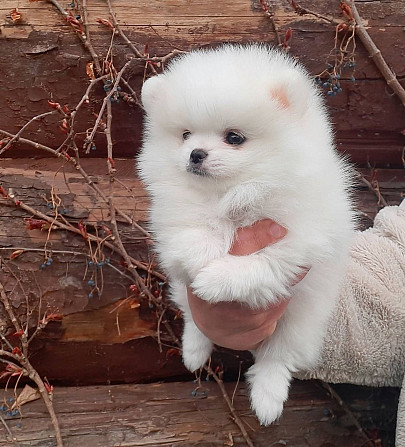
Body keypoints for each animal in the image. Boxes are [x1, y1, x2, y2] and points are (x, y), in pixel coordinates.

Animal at [138, 44, 354, 428]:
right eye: (185, 135)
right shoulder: (172, 219)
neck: (236, 192)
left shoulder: (299, 242)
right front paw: (204, 254)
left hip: (301, 323)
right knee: (194, 320)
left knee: (276, 358)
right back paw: (194, 351)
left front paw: (216, 279)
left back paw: (268, 399)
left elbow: (261, 263)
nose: (195, 154)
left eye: (234, 138)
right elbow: (191, 231)